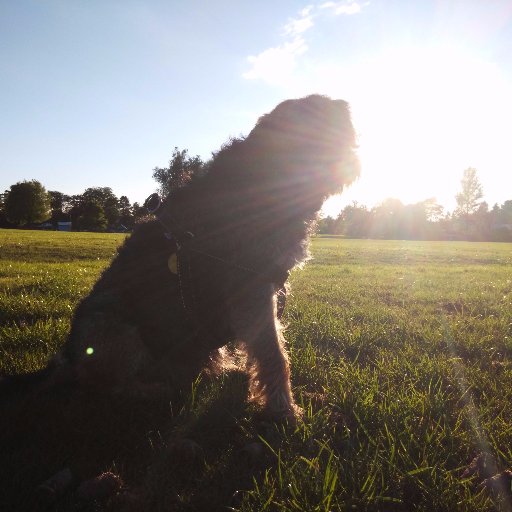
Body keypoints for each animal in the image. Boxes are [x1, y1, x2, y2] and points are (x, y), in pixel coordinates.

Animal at [4, 94, 358, 422]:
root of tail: (67, 358)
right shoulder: (251, 287)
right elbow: (272, 351)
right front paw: (283, 410)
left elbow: (262, 345)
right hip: (113, 325)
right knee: (109, 387)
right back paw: (158, 389)